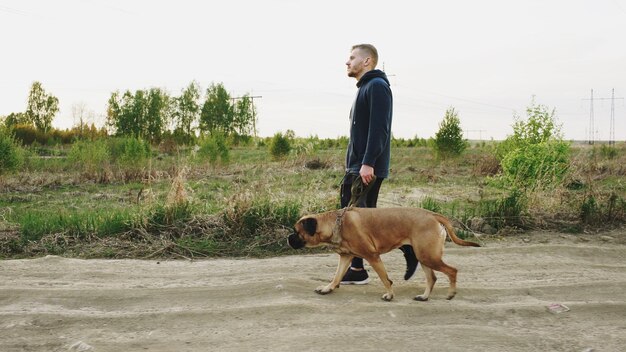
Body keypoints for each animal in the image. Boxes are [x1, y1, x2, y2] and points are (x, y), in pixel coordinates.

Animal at [286, 208, 480, 302]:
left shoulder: (373, 256)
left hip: (428, 256)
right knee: (432, 278)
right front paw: (328, 288)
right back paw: (424, 297)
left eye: (296, 232)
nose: (288, 238)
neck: (335, 223)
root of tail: (433, 215)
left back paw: (451, 293)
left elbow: (385, 279)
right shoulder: (346, 257)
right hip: (424, 256)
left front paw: (389, 295)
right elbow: (336, 276)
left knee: (452, 271)